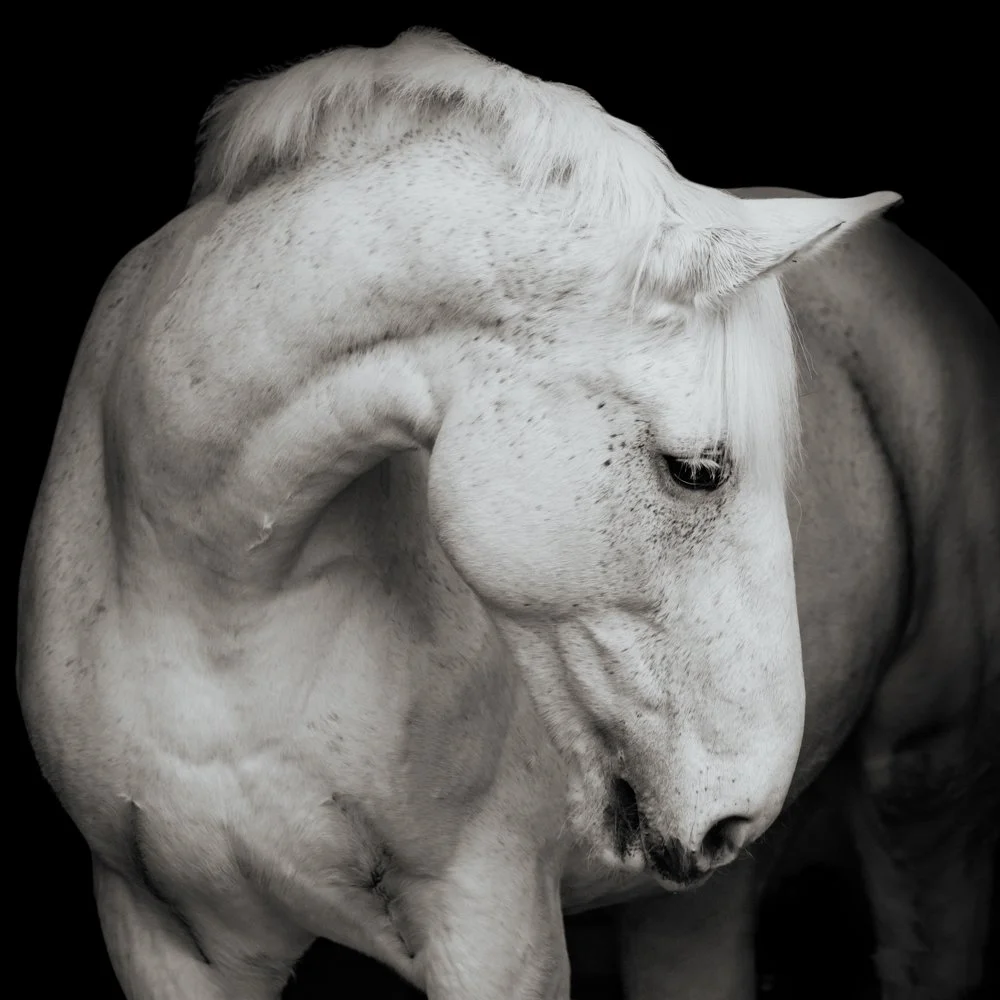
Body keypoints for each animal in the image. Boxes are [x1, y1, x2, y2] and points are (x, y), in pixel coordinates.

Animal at [15, 28, 997, 1000]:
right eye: (697, 472)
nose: (738, 812)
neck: (218, 599)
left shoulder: (490, 928)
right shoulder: (163, 937)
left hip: (924, 778)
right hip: (687, 906)